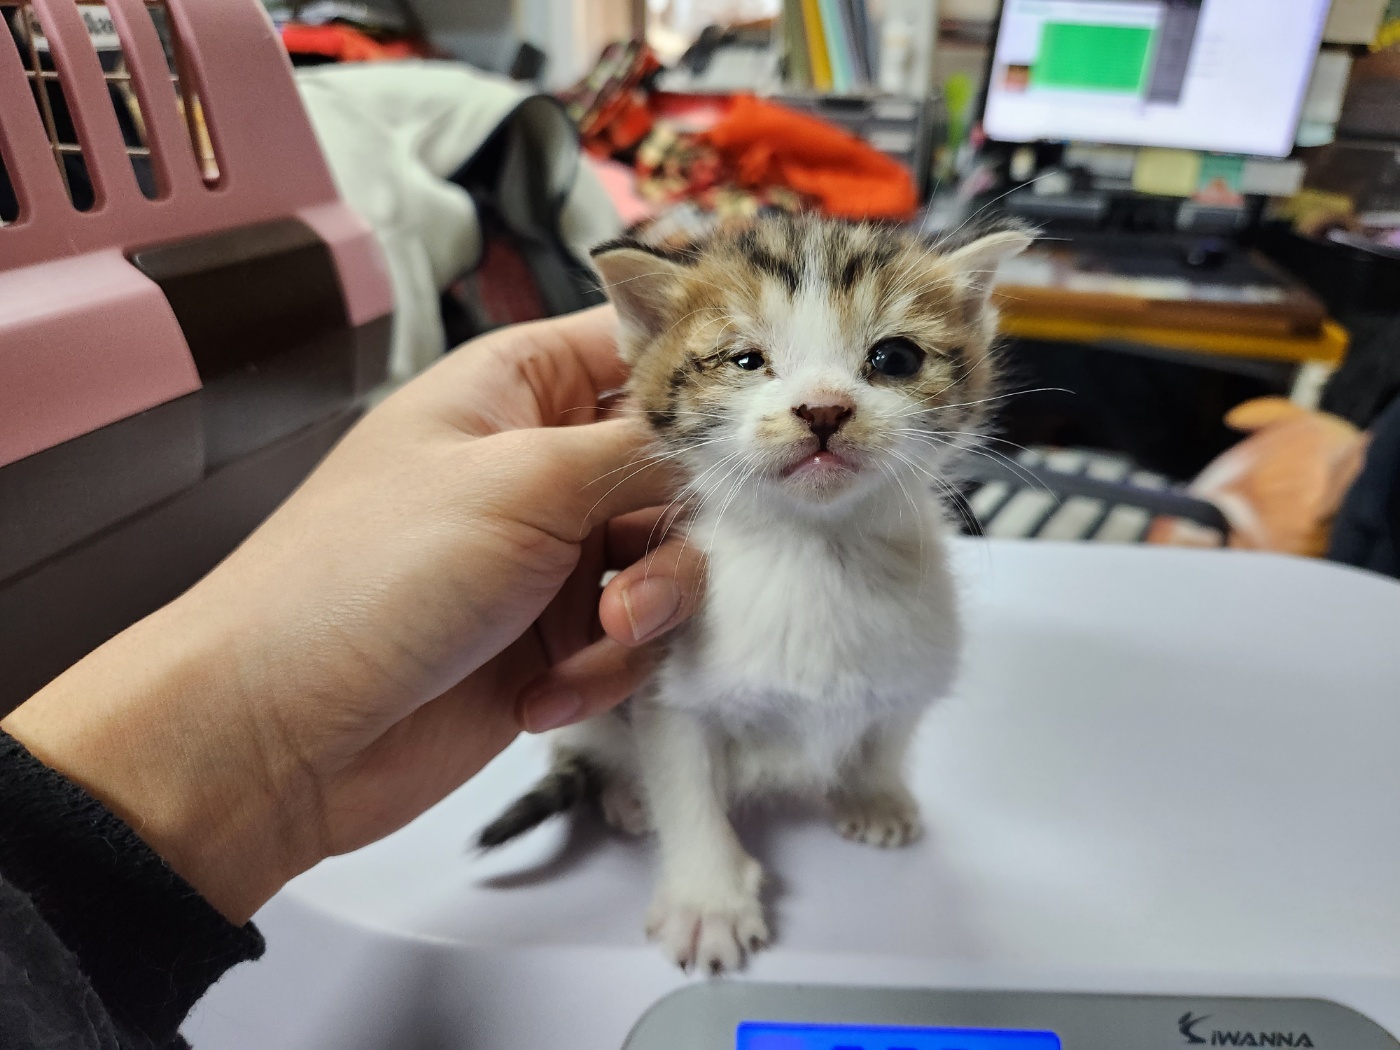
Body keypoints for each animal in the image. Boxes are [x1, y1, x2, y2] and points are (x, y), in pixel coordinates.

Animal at [476, 214, 1036, 980]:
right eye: (745, 360)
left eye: (894, 357)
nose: (824, 408)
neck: (814, 552)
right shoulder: (667, 676)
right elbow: (684, 784)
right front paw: (707, 901)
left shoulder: (917, 655)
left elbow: (890, 726)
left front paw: (874, 794)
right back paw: (625, 793)